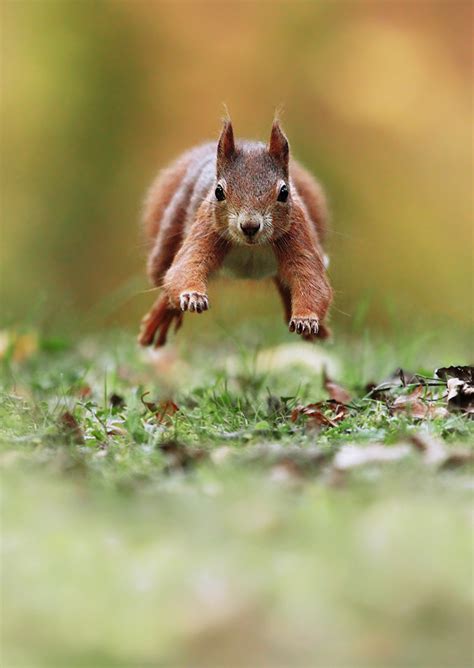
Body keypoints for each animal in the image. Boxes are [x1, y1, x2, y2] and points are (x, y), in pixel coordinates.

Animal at [140, 118, 334, 348]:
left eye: (284, 192)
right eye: (218, 191)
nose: (250, 226)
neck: (251, 247)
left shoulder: (298, 234)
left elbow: (311, 279)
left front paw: (307, 319)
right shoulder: (206, 230)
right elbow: (187, 265)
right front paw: (192, 296)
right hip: (170, 232)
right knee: (167, 279)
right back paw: (162, 316)